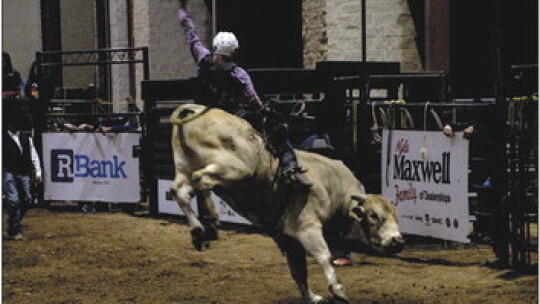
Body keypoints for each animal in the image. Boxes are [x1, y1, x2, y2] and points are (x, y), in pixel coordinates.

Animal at [171, 104, 402, 304]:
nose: (397, 240)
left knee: (180, 190)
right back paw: (207, 223)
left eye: (395, 216)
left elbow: (298, 270)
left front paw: (312, 297)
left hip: (184, 167)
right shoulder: (307, 227)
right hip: (235, 169)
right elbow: (324, 256)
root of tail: (195, 110)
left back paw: (201, 229)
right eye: (373, 215)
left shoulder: (287, 238)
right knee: (202, 180)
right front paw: (338, 291)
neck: (335, 191)